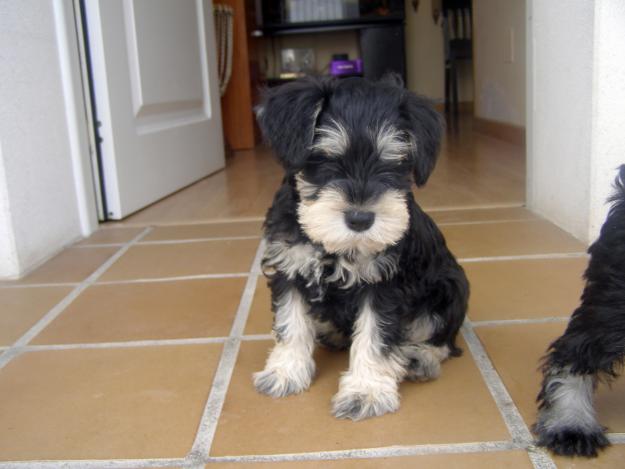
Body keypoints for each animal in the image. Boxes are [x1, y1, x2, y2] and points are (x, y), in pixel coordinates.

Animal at [251, 75, 466, 418]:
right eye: (324, 159)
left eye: (394, 162)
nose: (360, 219)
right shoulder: (290, 269)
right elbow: (291, 323)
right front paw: (285, 372)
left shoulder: (383, 286)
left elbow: (375, 337)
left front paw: (366, 392)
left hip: (450, 288)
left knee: (442, 339)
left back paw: (419, 359)